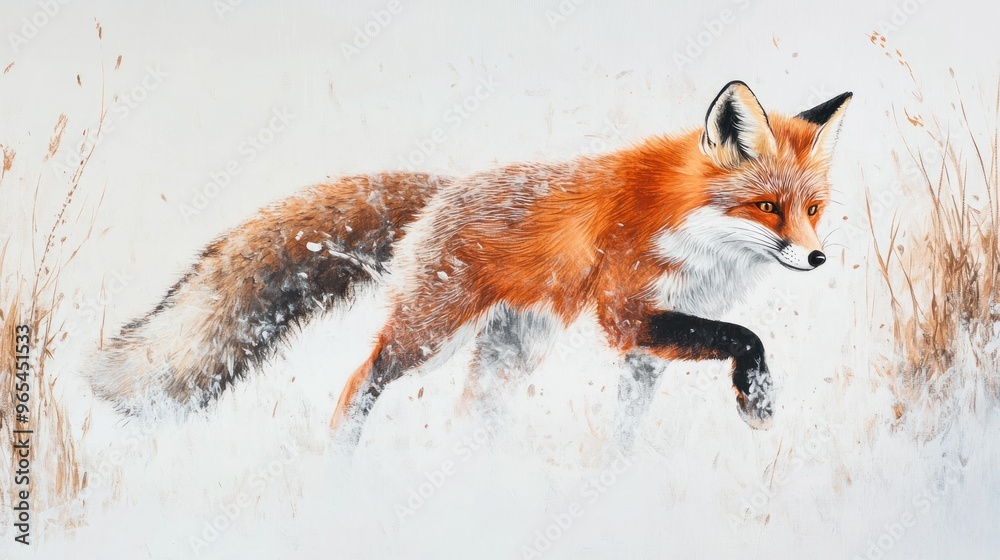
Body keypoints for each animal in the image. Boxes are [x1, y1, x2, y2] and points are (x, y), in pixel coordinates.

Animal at [91, 81, 851, 448]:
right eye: (767, 207)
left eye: (814, 209)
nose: (817, 256)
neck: (694, 232)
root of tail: (444, 190)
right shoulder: (627, 315)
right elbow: (746, 338)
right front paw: (759, 402)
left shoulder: (648, 345)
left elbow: (631, 424)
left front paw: (618, 477)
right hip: (431, 336)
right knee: (360, 381)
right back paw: (339, 467)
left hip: (511, 350)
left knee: (471, 415)